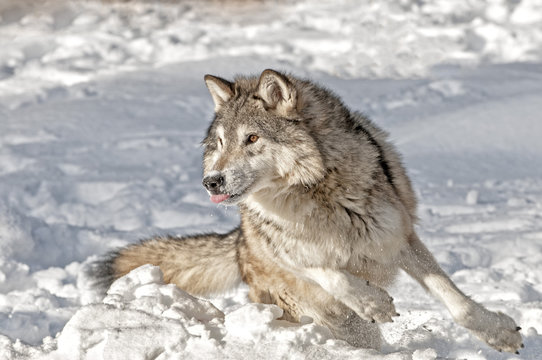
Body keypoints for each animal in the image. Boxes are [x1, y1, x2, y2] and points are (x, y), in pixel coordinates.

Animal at [90, 69, 528, 352]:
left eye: (251, 139)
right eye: (220, 143)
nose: (211, 182)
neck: (315, 195)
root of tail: (239, 245)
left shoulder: (399, 238)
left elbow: (458, 304)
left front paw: (499, 333)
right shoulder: (291, 252)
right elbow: (330, 272)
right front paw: (371, 301)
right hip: (318, 309)